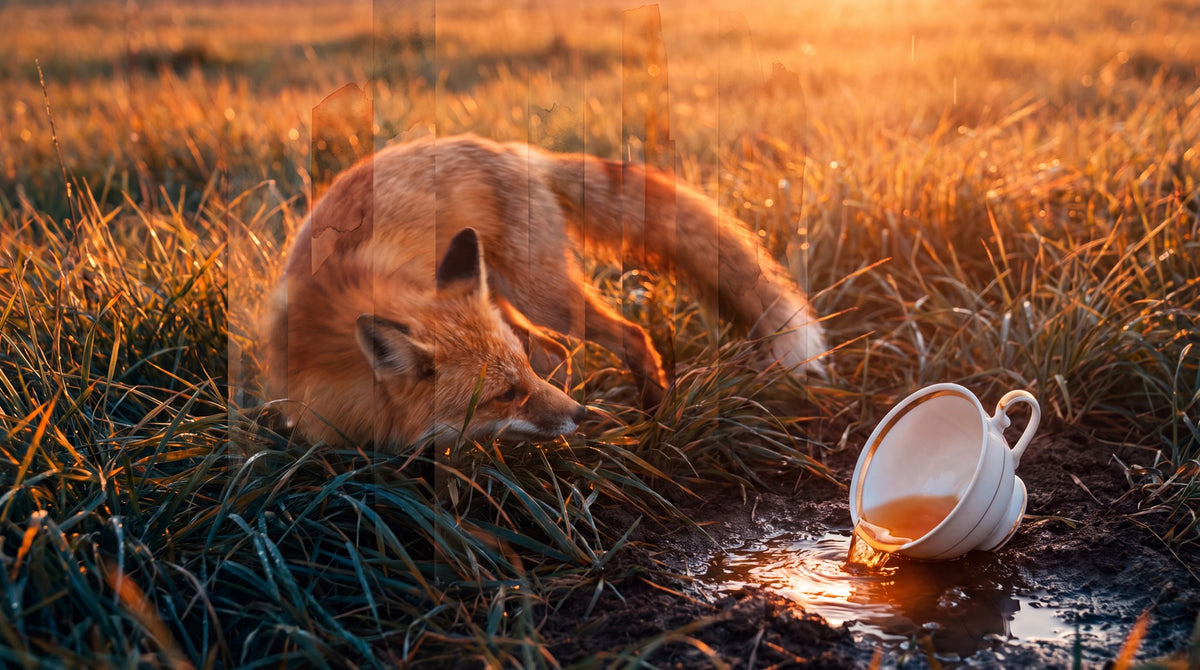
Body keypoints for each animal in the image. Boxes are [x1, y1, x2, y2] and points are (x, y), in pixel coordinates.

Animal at [264, 134, 827, 449]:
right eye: (503, 395)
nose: (580, 416)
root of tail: (519, 152)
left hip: (541, 296)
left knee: (627, 336)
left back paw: (655, 415)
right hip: (505, 299)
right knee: (558, 351)